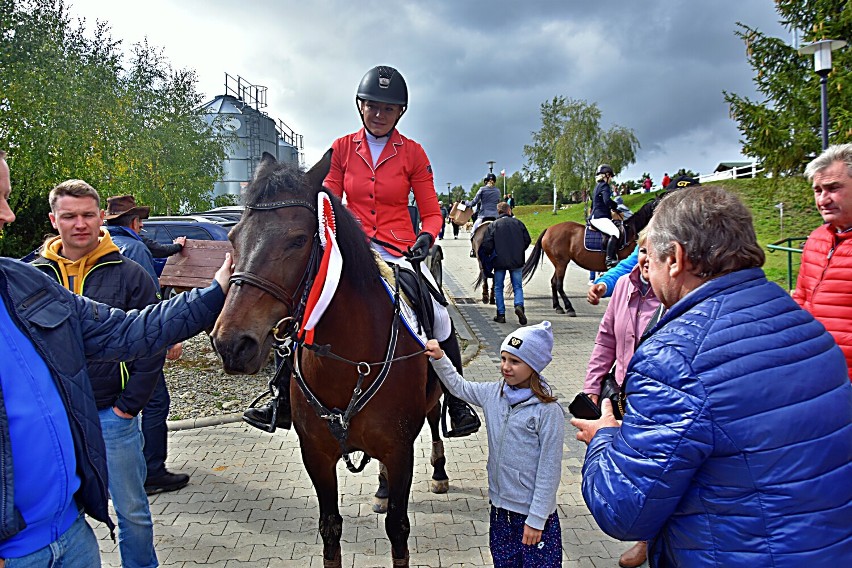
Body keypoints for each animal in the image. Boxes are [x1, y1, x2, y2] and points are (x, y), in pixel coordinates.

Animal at [211, 152, 450, 568]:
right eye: (232, 237)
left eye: (298, 239)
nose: (231, 343)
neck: (348, 363)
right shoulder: (317, 456)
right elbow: (330, 529)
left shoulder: (400, 451)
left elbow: (398, 530)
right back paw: (382, 490)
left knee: (436, 418)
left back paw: (438, 471)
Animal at [524, 197, 664, 316]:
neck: (631, 232)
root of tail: (548, 229)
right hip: (561, 263)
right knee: (558, 284)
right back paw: (569, 308)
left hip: (559, 263)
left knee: (553, 282)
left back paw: (558, 307)